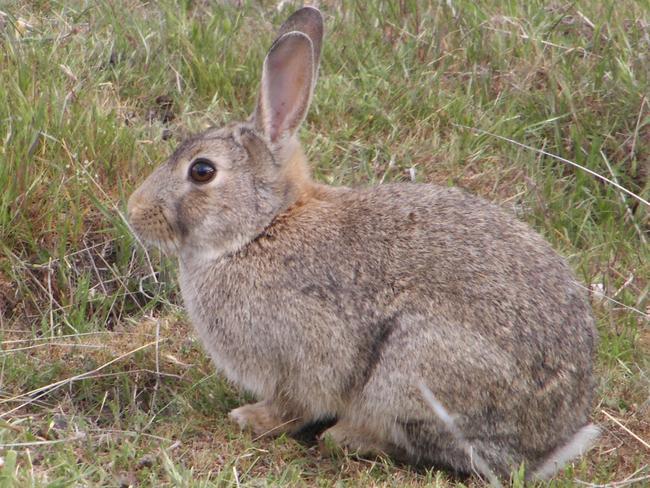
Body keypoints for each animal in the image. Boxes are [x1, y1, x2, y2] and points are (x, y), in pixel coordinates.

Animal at [126, 5, 596, 482]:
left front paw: (250, 418)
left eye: (202, 171)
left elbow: (293, 405)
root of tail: (548, 444)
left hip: (416, 369)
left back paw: (347, 437)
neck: (261, 228)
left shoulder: (302, 354)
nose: (133, 210)